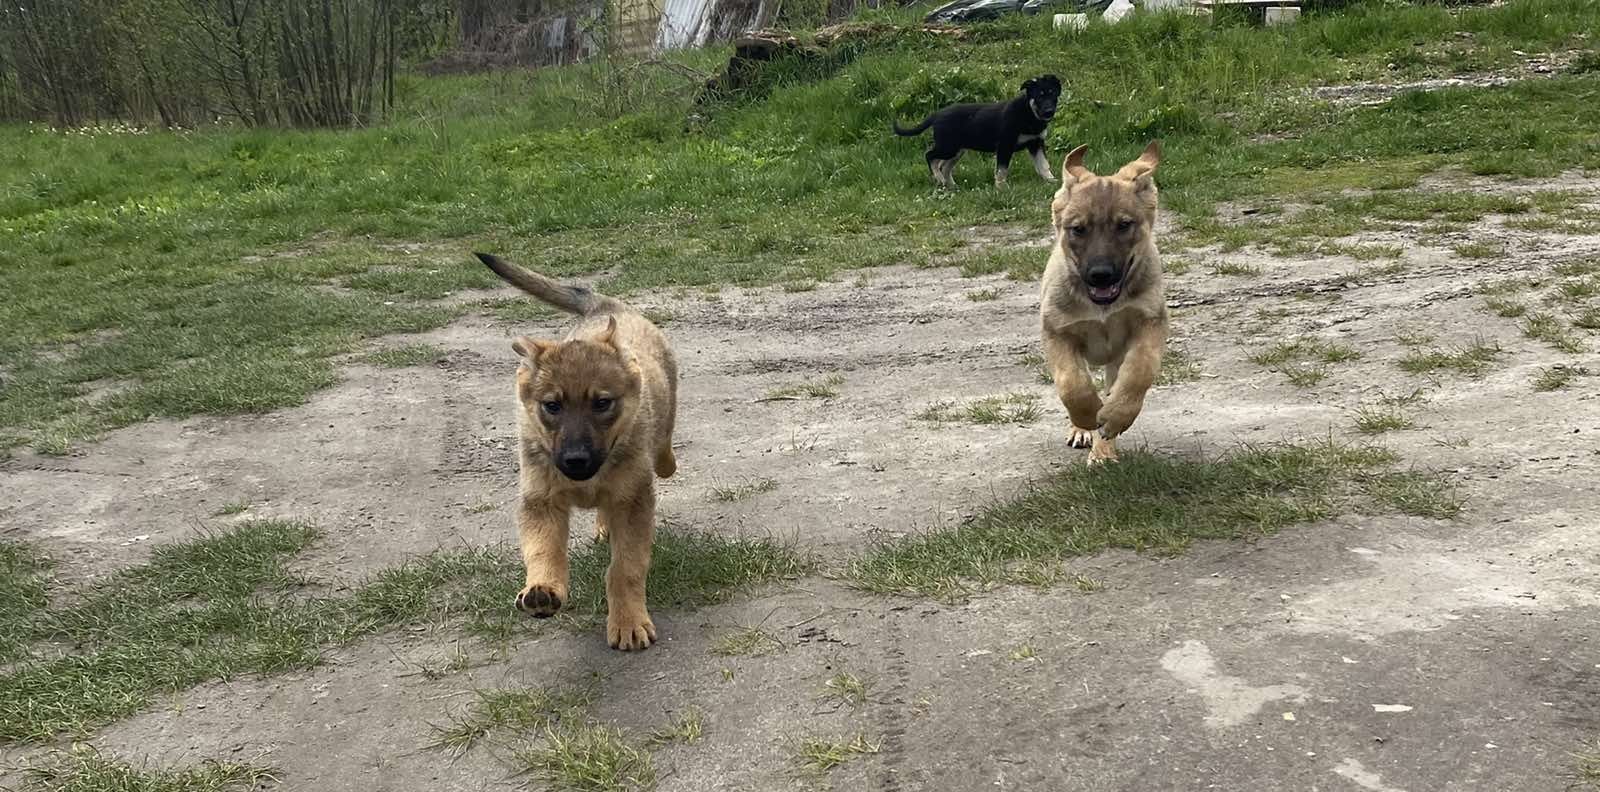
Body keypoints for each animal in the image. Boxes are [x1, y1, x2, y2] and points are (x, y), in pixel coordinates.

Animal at [470, 252, 678, 649]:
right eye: (552, 406)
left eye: (602, 403)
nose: (575, 460)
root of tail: (604, 305)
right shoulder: (541, 501)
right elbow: (543, 550)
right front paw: (542, 589)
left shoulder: (633, 500)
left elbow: (625, 568)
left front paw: (628, 621)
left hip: (666, 414)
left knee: (663, 448)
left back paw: (665, 462)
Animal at [896, 75, 1056, 190]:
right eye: (1040, 96)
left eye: (1052, 94)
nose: (1049, 111)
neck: (1028, 113)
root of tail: (936, 115)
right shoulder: (1005, 145)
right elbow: (1002, 170)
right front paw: (1002, 187)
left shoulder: (1036, 143)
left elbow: (1044, 164)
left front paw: (1051, 181)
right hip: (948, 147)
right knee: (930, 156)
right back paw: (939, 178)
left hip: (956, 150)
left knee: (944, 166)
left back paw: (951, 186)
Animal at [1036, 140, 1164, 464]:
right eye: (1078, 229)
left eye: (1124, 225)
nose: (1101, 275)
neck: (1102, 307)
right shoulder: (1057, 332)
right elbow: (1072, 384)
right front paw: (1085, 418)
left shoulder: (1150, 323)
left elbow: (1138, 373)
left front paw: (1115, 418)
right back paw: (1084, 430)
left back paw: (1104, 448)